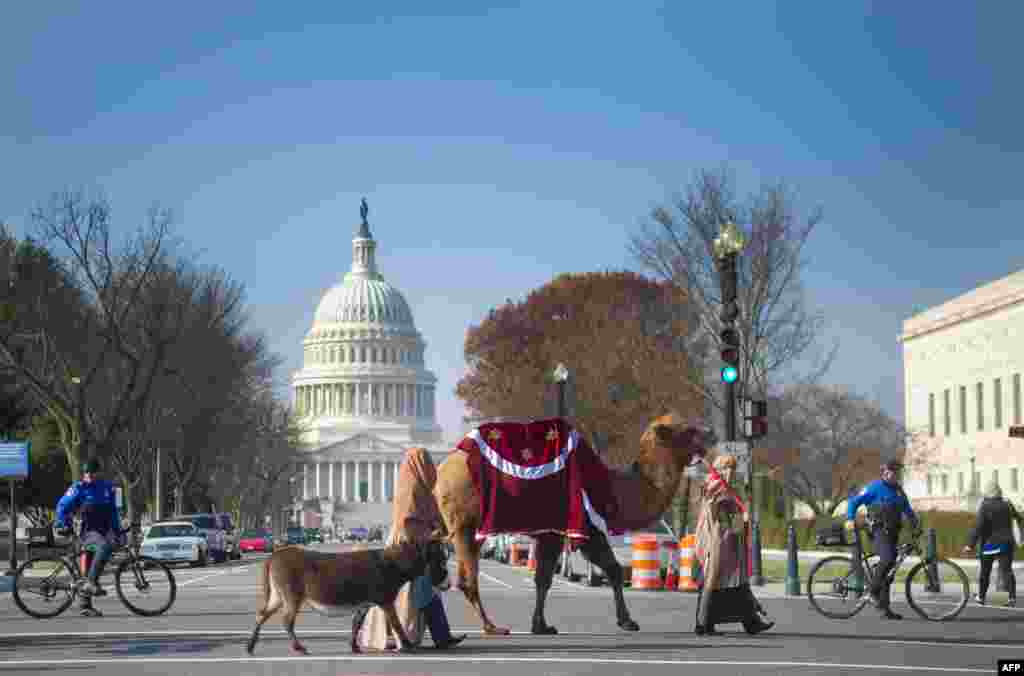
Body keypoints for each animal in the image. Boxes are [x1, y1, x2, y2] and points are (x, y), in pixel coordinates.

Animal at [432, 409, 712, 635]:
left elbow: (602, 570)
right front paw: (543, 626)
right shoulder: (571, 528)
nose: (711, 433)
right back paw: (492, 627)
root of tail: (443, 469)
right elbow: (553, 576)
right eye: (687, 430)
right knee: (468, 578)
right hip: (467, 522)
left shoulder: (573, 530)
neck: (611, 489)